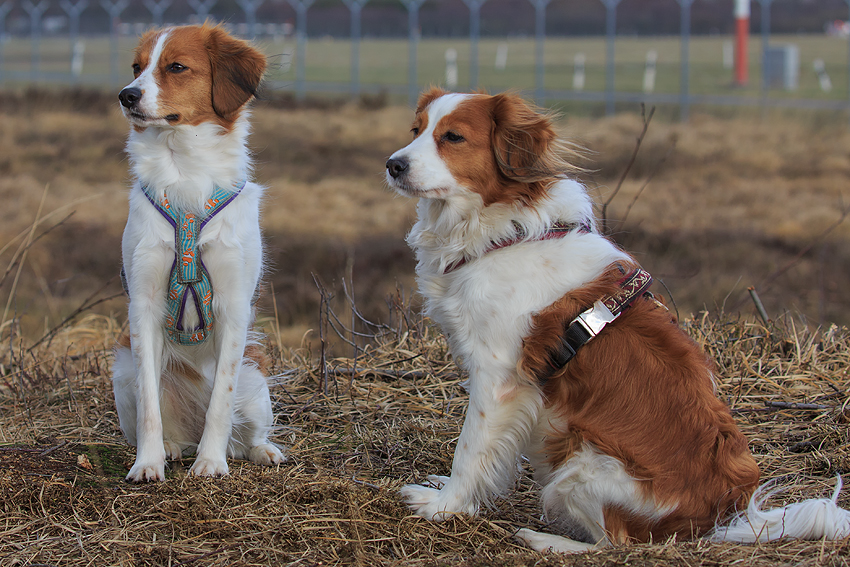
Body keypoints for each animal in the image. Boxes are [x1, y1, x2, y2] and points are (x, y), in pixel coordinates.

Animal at [111, 24, 284, 482]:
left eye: (176, 67)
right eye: (136, 67)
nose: (126, 95)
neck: (183, 169)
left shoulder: (233, 305)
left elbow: (221, 401)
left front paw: (210, 462)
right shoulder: (144, 305)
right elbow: (150, 404)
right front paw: (148, 463)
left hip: (255, 384)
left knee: (246, 434)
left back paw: (260, 450)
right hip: (122, 373)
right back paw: (172, 448)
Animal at [386, 87, 848, 552]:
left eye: (453, 137)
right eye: (416, 130)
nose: (393, 164)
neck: (501, 232)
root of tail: (728, 515)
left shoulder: (498, 377)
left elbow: (470, 449)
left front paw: (444, 506)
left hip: (582, 463)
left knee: (615, 542)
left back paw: (545, 541)